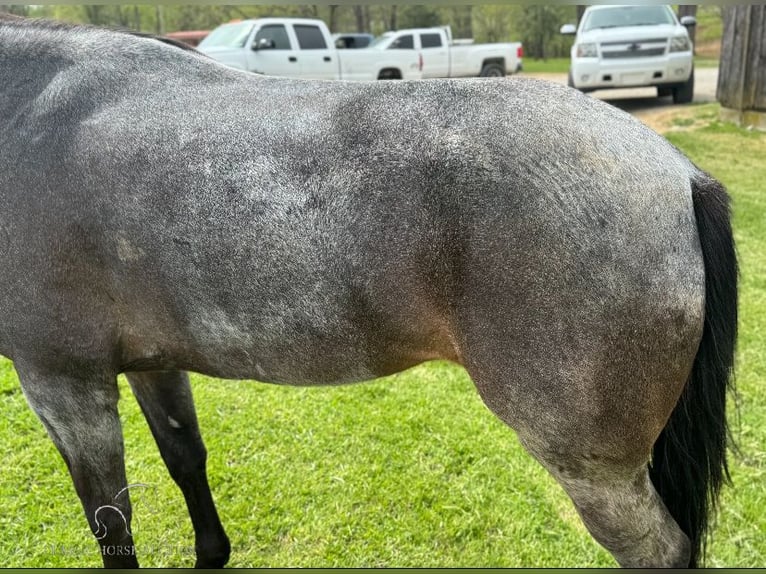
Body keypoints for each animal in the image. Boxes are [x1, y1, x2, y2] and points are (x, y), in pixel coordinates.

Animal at [0, 15, 736, 568]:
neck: (33, 110)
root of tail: (677, 172)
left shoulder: (62, 382)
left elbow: (110, 518)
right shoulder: (151, 363)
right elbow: (185, 460)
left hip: (593, 468)